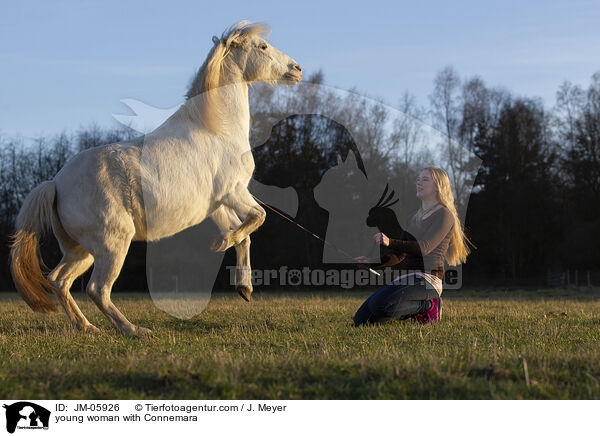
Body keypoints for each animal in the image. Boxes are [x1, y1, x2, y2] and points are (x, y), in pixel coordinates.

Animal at [12, 19, 304, 334]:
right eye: (262, 46)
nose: (297, 69)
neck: (217, 128)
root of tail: (55, 184)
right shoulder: (234, 191)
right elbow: (258, 218)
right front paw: (220, 245)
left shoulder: (219, 204)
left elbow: (245, 233)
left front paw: (244, 288)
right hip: (112, 245)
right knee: (96, 289)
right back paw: (133, 330)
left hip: (81, 251)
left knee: (59, 280)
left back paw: (87, 327)